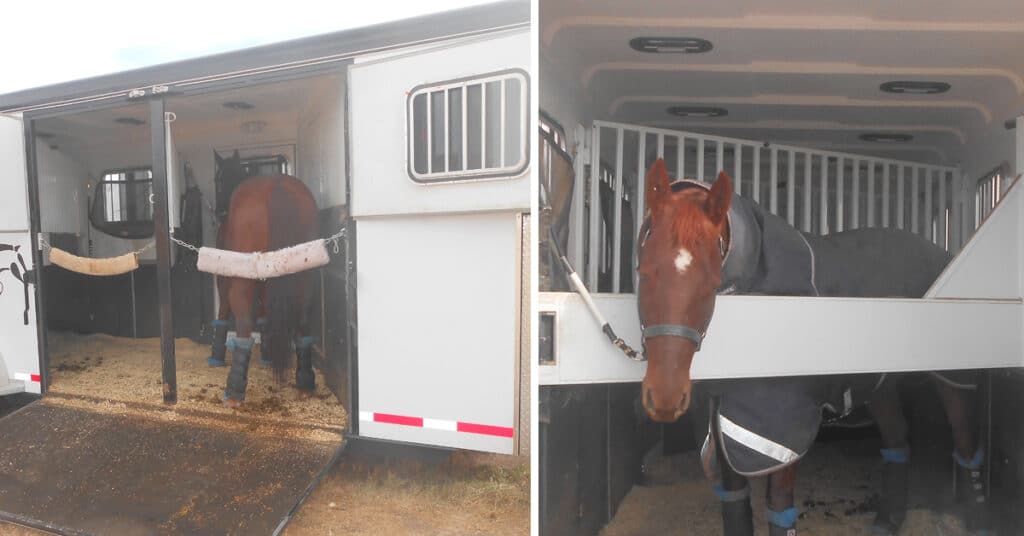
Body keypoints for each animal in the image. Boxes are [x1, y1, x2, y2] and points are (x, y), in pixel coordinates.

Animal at [205, 150, 317, 407]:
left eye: (217, 179)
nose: (219, 212)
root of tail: (276, 186)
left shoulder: (224, 277)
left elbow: (223, 313)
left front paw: (216, 356)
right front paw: (266, 354)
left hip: (242, 281)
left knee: (244, 321)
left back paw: (234, 390)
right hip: (305, 276)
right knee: (304, 319)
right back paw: (305, 382)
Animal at [638, 159, 991, 536]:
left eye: (711, 281)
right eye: (643, 270)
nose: (664, 398)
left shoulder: (779, 429)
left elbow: (779, 508)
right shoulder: (723, 427)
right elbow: (734, 502)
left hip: (951, 379)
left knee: (965, 442)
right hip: (878, 382)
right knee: (898, 441)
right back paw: (887, 520)